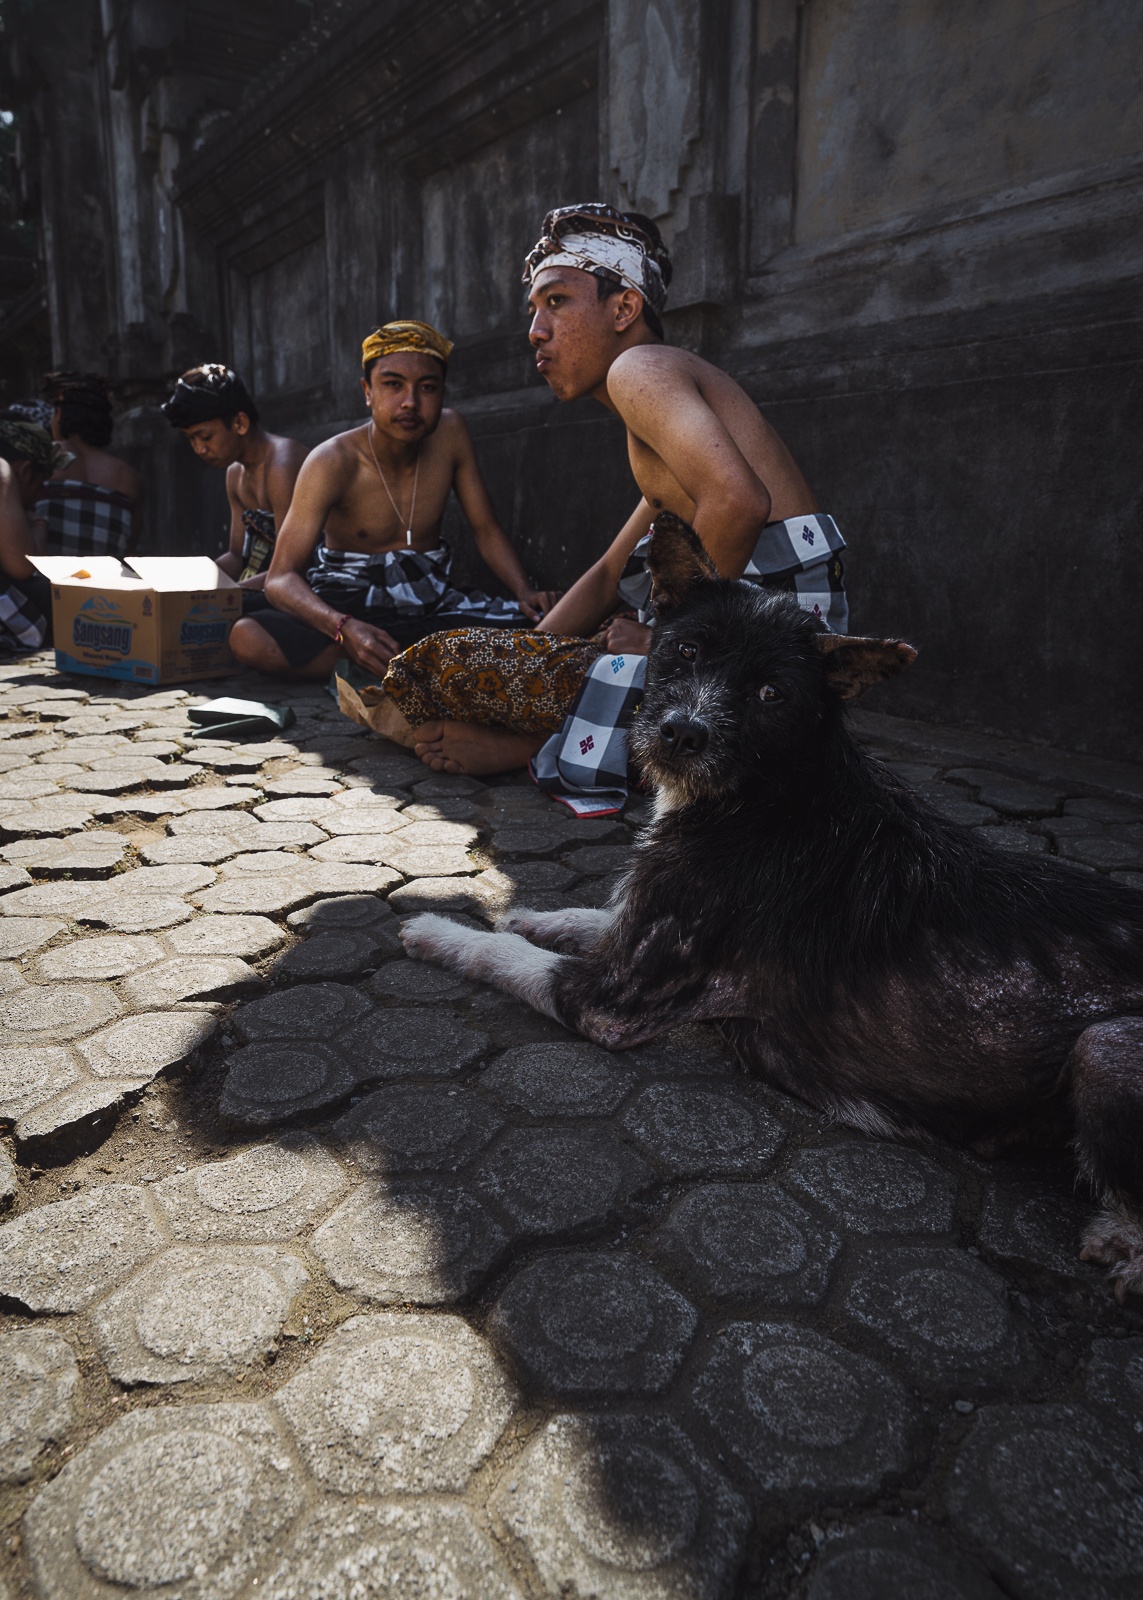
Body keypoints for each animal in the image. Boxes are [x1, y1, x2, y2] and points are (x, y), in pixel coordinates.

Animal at [400, 515, 1139, 1299]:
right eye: (685, 650)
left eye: (770, 693)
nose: (681, 734)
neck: (771, 791)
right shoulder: (640, 930)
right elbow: (595, 916)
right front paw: (534, 915)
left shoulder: (612, 1001)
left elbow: (502, 954)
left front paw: (438, 927)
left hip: (1104, 1049)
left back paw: (1121, 1240)